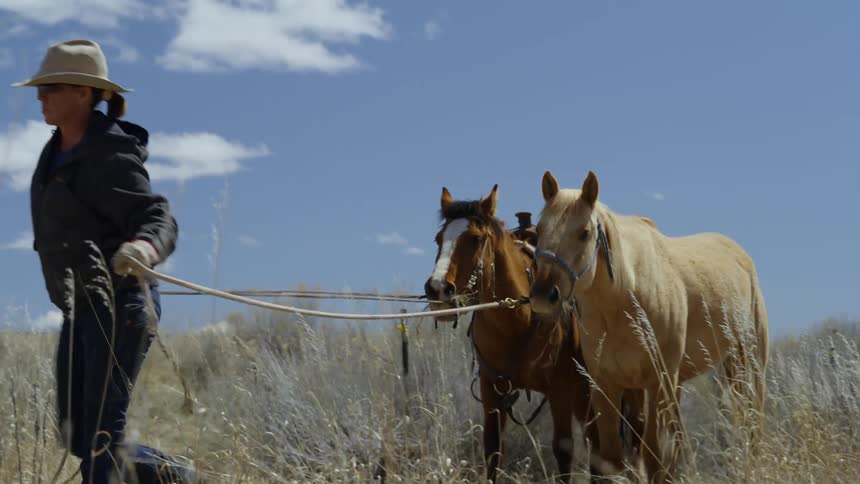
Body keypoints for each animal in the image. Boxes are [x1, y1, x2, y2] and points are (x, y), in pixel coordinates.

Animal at [422, 184, 643, 483]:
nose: (437, 290)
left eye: (475, 239)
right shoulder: (492, 389)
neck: (518, 321)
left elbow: (564, 450)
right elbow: (493, 451)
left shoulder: (560, 389)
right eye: (438, 239)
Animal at [528, 170, 769, 483]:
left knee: (753, 418)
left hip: (750, 360)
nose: (544, 294)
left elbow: (654, 455)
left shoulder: (659, 381)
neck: (624, 300)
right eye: (539, 230)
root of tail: (738, 254)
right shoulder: (606, 387)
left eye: (584, 232)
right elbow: (614, 457)